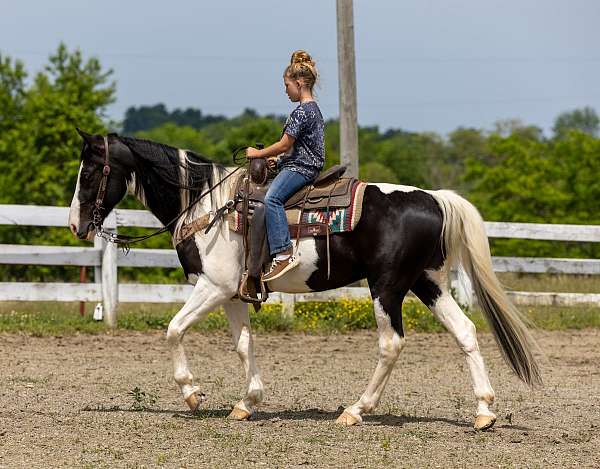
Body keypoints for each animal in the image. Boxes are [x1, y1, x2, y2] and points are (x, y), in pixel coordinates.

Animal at [68, 130, 540, 430]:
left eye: (89, 173)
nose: (76, 224)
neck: (208, 204)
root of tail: (435, 198)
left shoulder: (212, 286)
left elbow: (173, 330)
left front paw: (192, 393)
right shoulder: (233, 294)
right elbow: (244, 345)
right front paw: (247, 403)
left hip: (387, 286)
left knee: (391, 345)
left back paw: (356, 410)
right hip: (428, 282)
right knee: (466, 332)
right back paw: (484, 412)